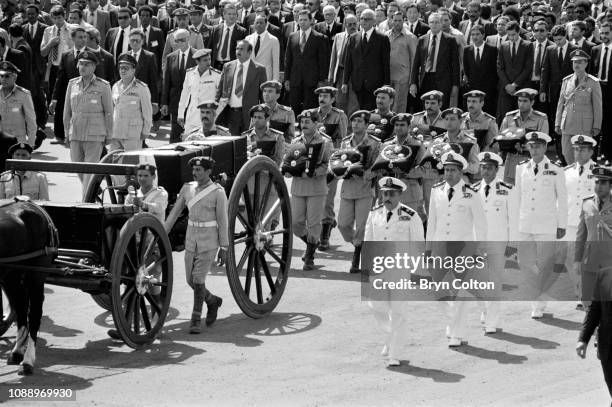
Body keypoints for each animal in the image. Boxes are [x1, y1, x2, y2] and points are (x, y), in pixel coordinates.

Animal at [0, 198, 57, 376]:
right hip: (12, 274)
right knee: (21, 306)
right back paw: (17, 351)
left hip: (36, 275)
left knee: (34, 314)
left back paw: (28, 360)